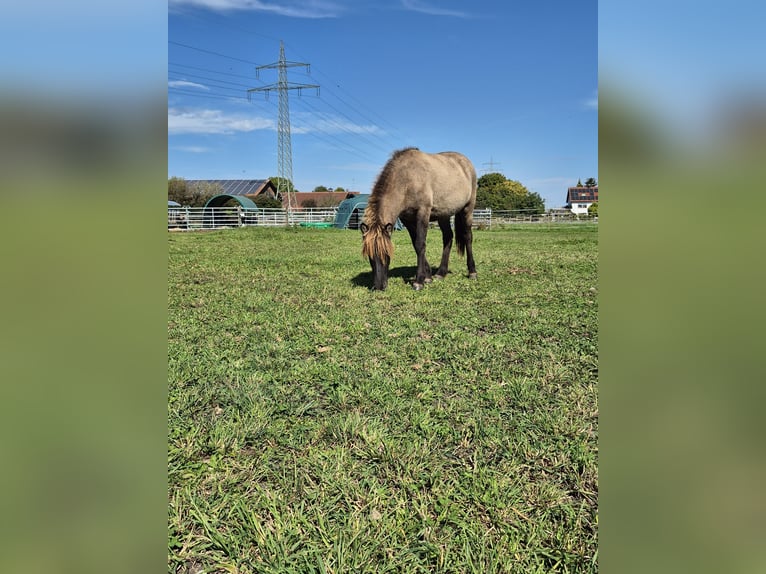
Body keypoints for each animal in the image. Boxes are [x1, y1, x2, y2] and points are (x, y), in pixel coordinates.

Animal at [360, 147, 477, 291]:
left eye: (387, 253)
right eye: (369, 255)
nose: (379, 286)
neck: (407, 179)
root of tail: (465, 162)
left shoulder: (423, 212)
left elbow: (420, 244)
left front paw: (419, 281)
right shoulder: (407, 220)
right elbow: (415, 245)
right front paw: (428, 277)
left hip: (468, 209)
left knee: (468, 237)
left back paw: (472, 272)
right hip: (443, 214)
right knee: (448, 237)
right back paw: (441, 273)